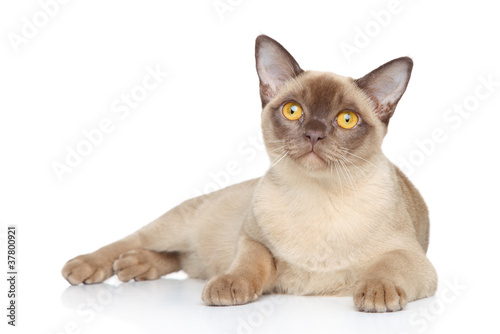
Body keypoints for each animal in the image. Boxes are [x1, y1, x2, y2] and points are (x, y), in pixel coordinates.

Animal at [63, 34, 438, 314]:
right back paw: (87, 267)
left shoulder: (413, 259)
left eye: (347, 119)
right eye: (293, 111)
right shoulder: (252, 240)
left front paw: (376, 293)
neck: (318, 197)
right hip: (178, 226)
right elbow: (250, 263)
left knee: (176, 259)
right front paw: (229, 287)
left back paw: (134, 267)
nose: (314, 134)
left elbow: (387, 267)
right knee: (134, 241)